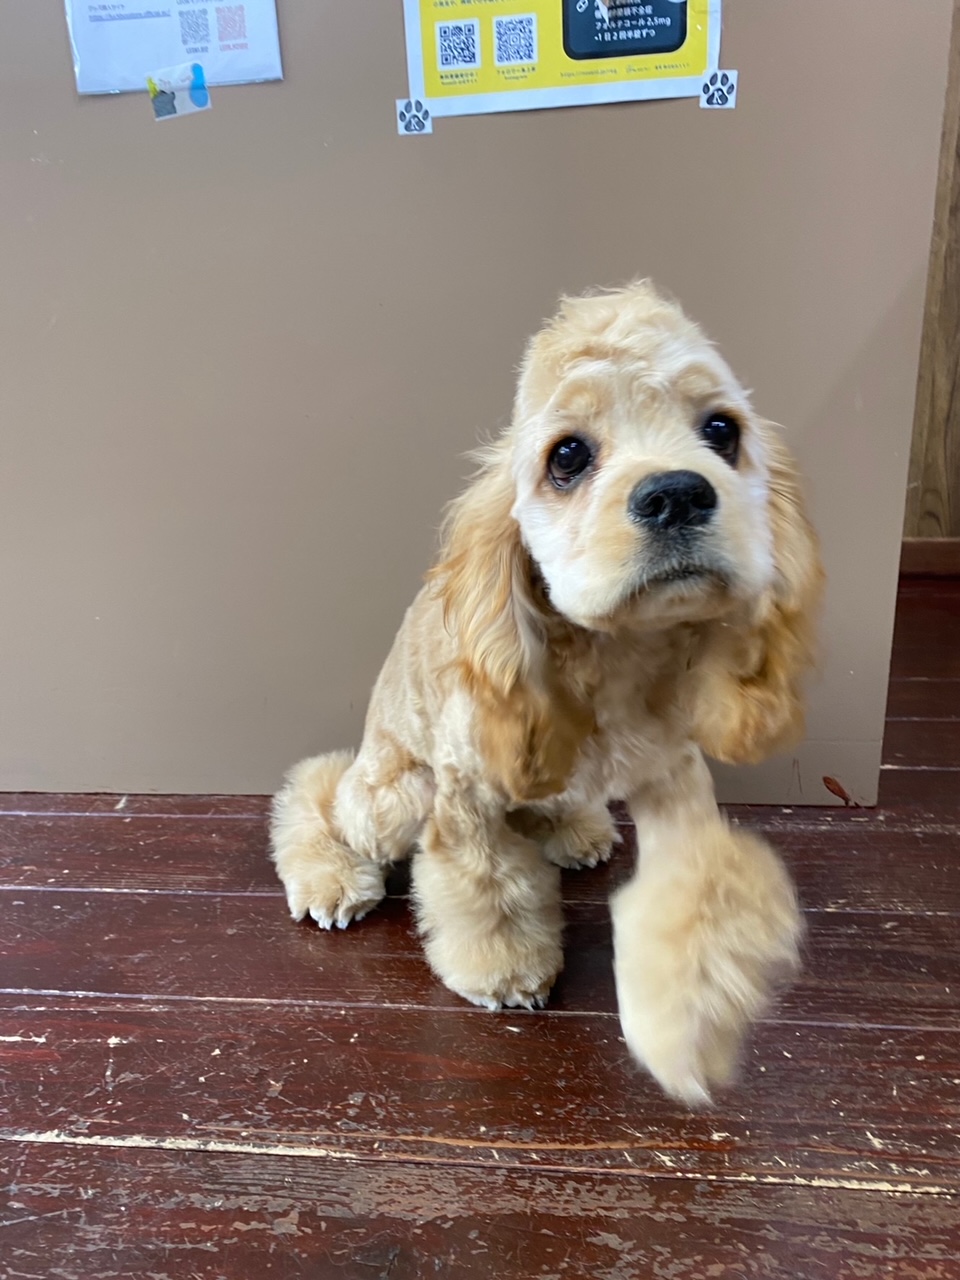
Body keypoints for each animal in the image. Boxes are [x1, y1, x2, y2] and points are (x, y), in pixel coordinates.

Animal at [270, 281, 823, 1105]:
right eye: (568, 456)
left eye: (722, 430)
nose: (676, 494)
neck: (617, 655)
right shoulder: (465, 795)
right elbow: (488, 884)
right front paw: (505, 972)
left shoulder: (674, 776)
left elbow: (692, 894)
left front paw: (687, 1023)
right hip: (391, 792)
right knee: (321, 791)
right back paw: (330, 878)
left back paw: (575, 830)